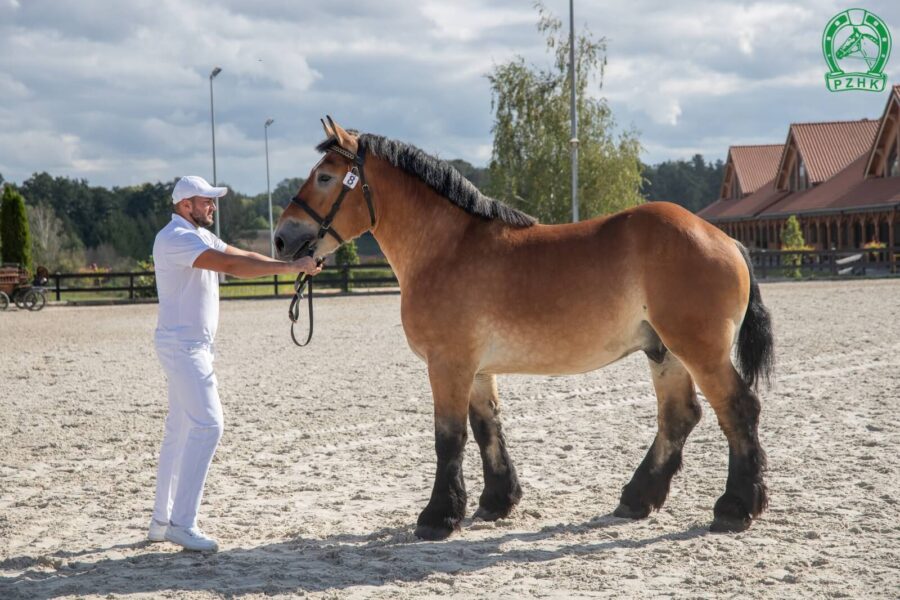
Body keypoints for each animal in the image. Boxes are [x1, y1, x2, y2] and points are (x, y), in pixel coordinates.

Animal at [274, 117, 772, 540]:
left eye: (325, 177)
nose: (281, 238)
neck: (446, 248)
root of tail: (725, 239)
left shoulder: (447, 365)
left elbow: (448, 437)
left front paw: (438, 517)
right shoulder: (475, 369)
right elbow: (486, 427)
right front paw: (497, 501)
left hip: (699, 350)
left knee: (738, 409)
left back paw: (734, 507)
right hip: (664, 351)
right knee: (679, 416)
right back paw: (637, 499)